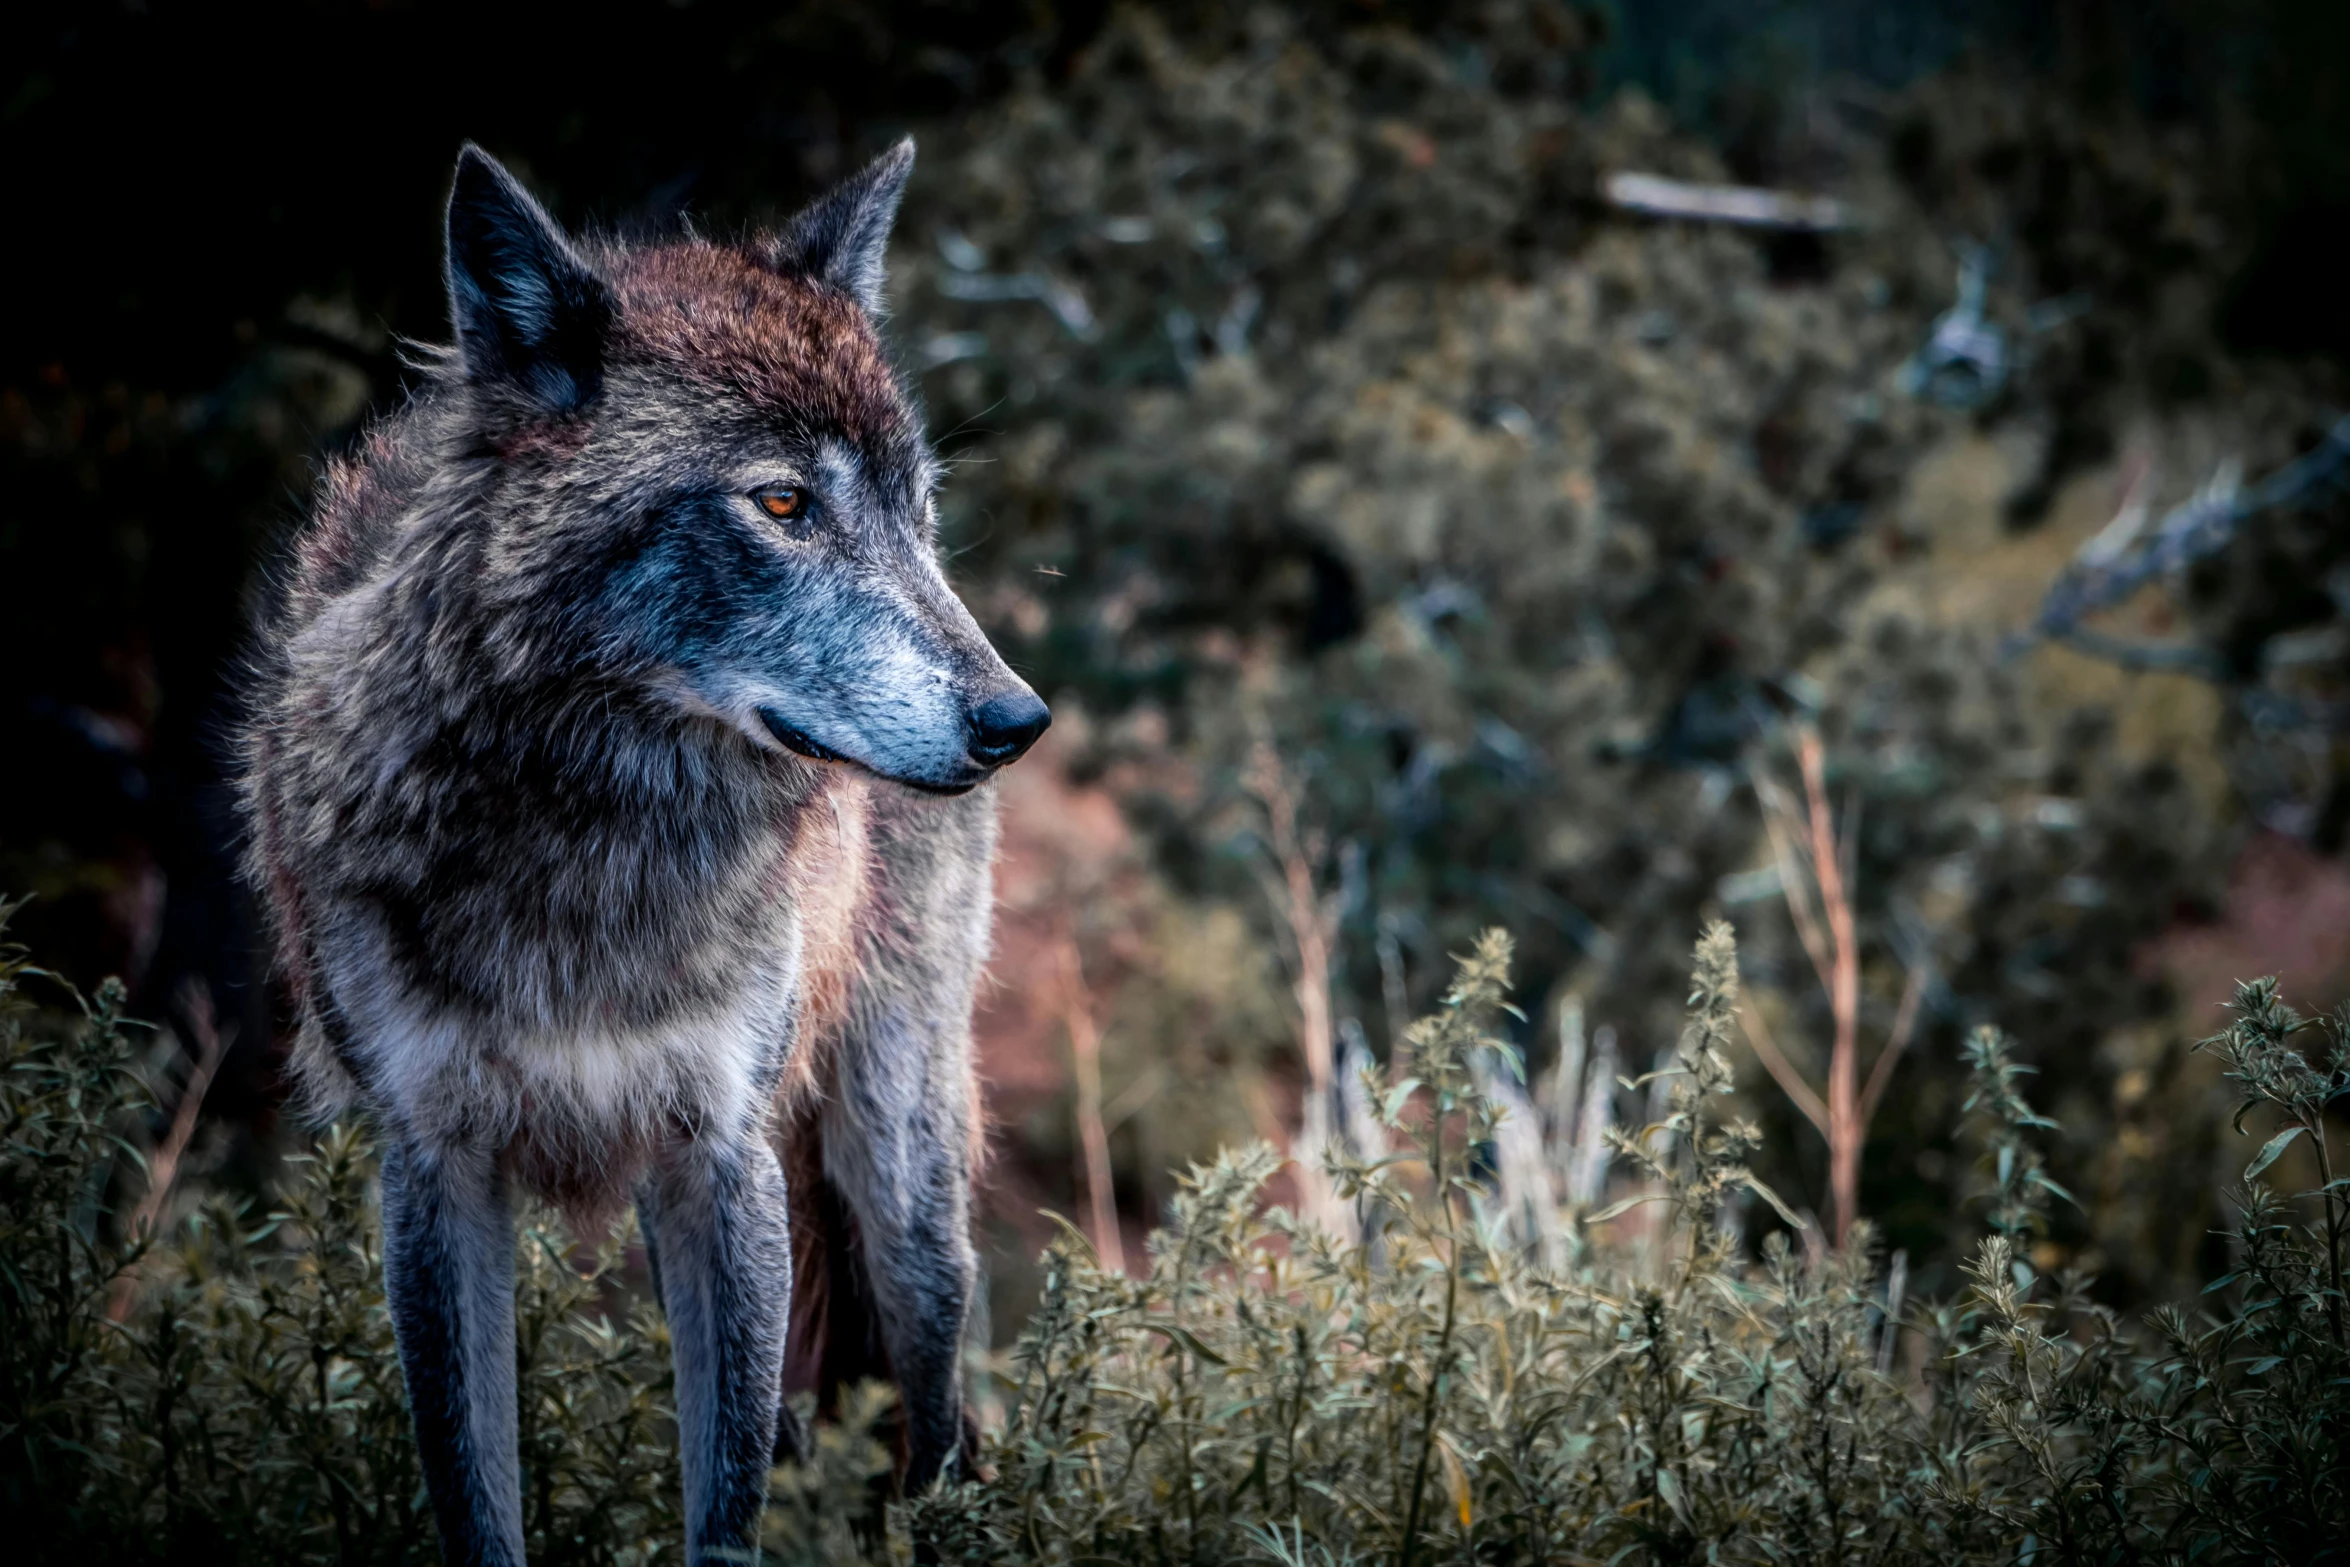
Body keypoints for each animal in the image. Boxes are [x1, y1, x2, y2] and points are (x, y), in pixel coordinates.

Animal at [238, 140, 1048, 1559]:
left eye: (918, 511)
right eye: (781, 502)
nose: (1017, 719)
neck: (596, 843)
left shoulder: (716, 1158)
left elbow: (722, 1514)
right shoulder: (434, 1174)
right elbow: (480, 1501)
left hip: (899, 1187)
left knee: (937, 1436)